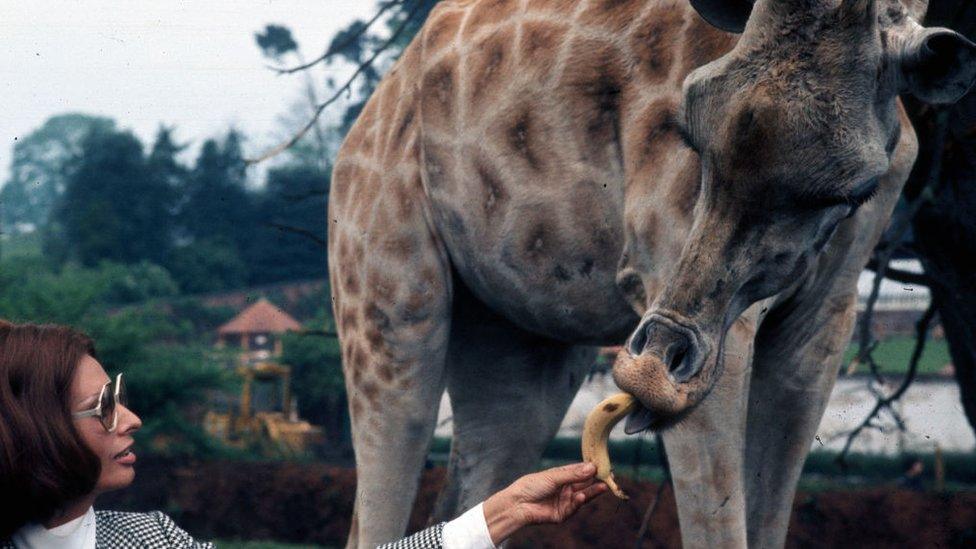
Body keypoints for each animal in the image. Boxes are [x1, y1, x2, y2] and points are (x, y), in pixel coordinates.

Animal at [330, 1, 976, 544]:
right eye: (690, 137)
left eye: (853, 192)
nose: (649, 370)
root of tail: (377, 103)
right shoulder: (674, 270)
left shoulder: (824, 318)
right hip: (383, 281)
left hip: (521, 339)